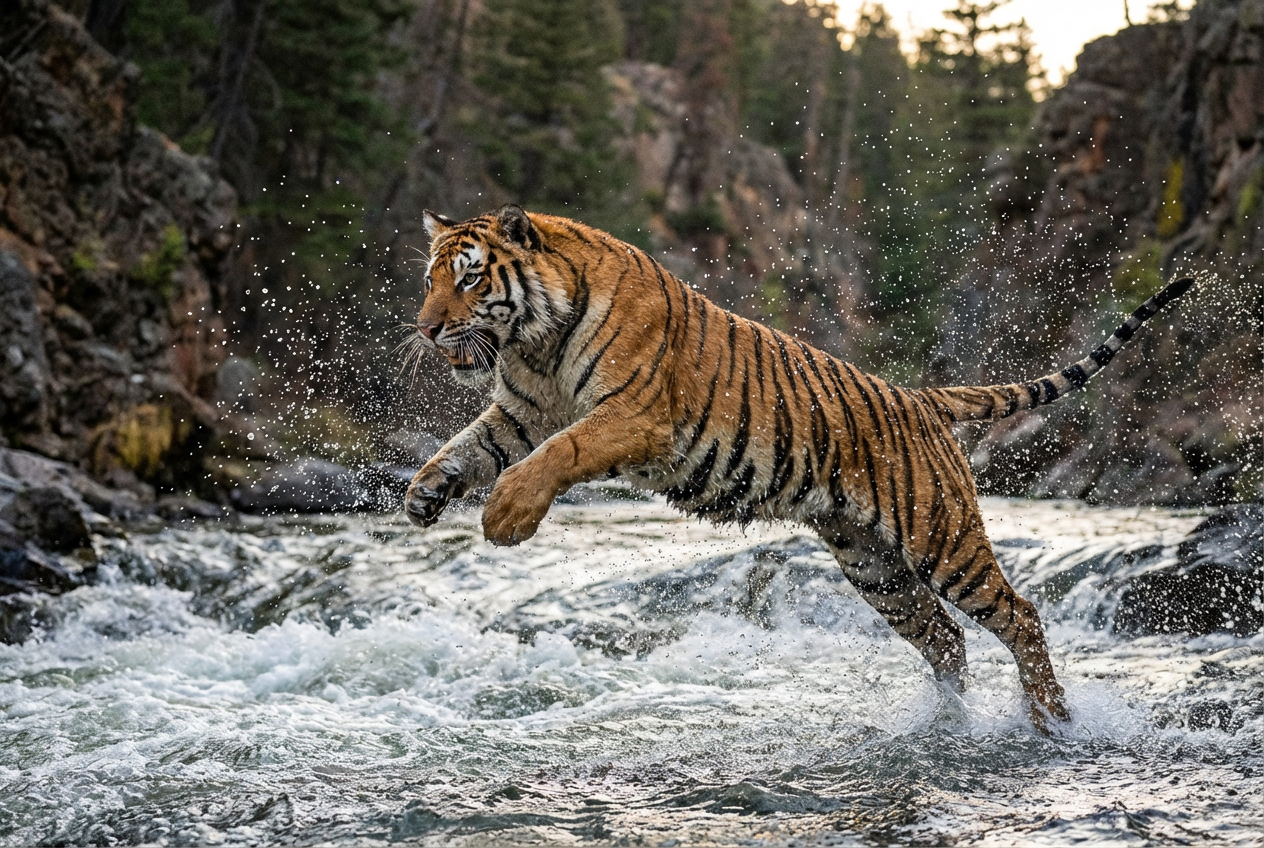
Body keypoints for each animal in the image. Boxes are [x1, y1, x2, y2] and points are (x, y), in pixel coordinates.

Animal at [402, 204, 1194, 729]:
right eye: (431, 280)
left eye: (469, 281)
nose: (426, 328)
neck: (534, 341)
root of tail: (921, 397)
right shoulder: (520, 412)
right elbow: (465, 448)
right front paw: (423, 494)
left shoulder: (632, 415)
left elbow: (553, 455)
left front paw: (506, 516)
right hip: (874, 564)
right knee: (946, 639)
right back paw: (946, 724)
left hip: (942, 539)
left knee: (1021, 616)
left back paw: (1050, 719)